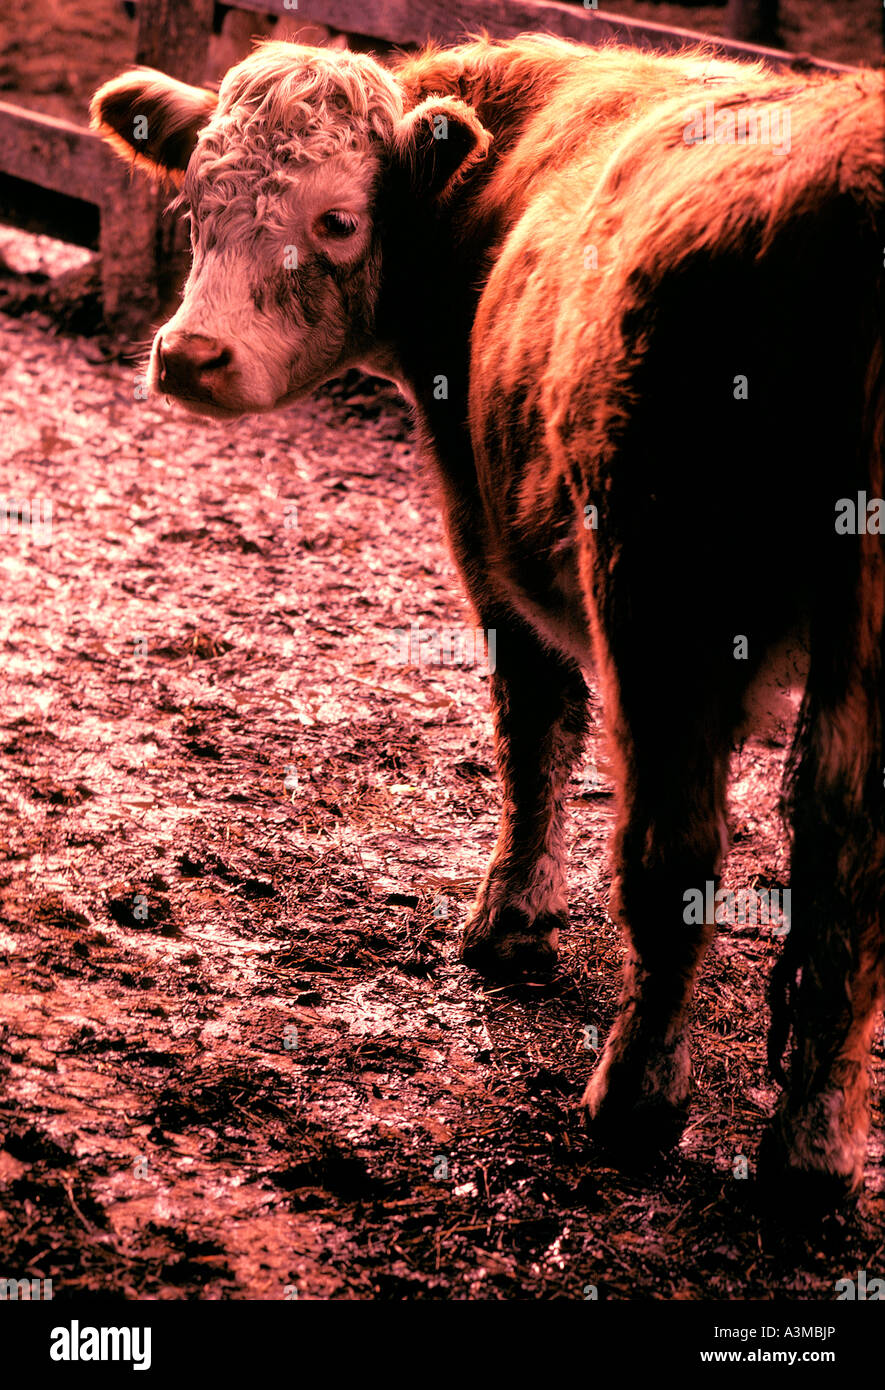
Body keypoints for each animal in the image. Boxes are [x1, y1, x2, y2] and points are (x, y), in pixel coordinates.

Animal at [91, 35, 883, 1206]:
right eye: (192, 205)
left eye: (338, 220)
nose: (191, 356)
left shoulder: (483, 527)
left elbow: (533, 726)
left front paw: (511, 922)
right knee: (848, 859)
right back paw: (813, 1149)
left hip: (661, 590)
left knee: (673, 849)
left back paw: (635, 1098)